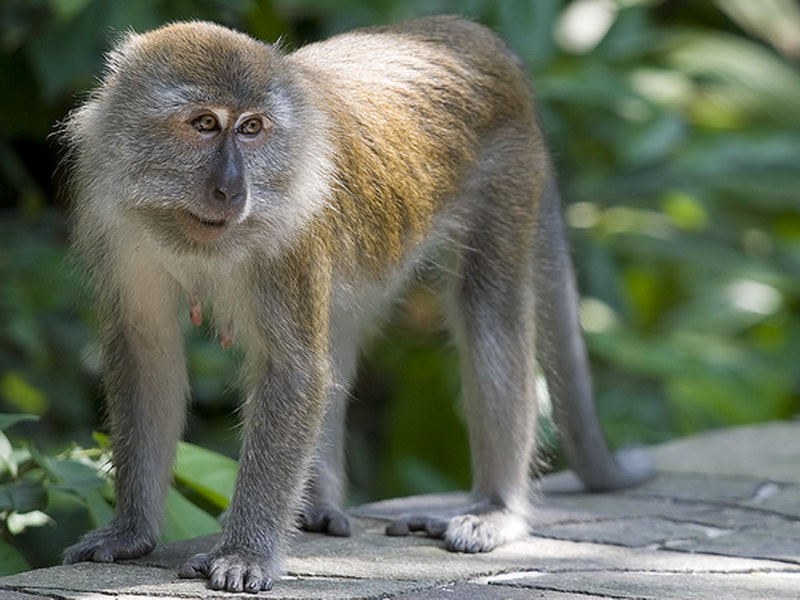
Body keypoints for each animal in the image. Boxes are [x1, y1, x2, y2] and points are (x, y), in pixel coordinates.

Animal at [62, 16, 648, 592]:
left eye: (251, 128)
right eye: (205, 123)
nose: (231, 189)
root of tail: (475, 36)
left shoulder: (292, 237)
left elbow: (294, 371)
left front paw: (245, 553)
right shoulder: (119, 228)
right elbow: (146, 355)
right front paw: (130, 532)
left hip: (508, 176)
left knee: (490, 318)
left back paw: (496, 508)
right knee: (340, 335)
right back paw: (316, 508)